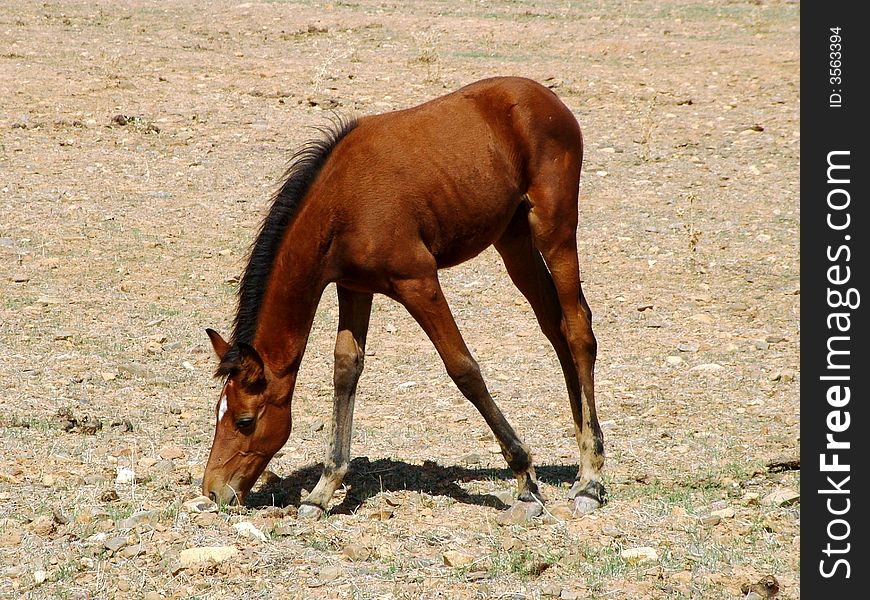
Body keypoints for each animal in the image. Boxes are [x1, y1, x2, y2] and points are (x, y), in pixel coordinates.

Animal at [203, 76, 608, 520]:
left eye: (244, 420)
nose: (213, 490)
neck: (342, 202)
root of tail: (546, 97)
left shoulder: (419, 281)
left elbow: (463, 369)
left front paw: (525, 481)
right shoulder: (355, 287)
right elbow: (346, 369)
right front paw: (322, 490)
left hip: (555, 229)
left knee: (577, 330)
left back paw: (590, 480)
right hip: (514, 242)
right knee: (555, 327)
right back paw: (583, 456)